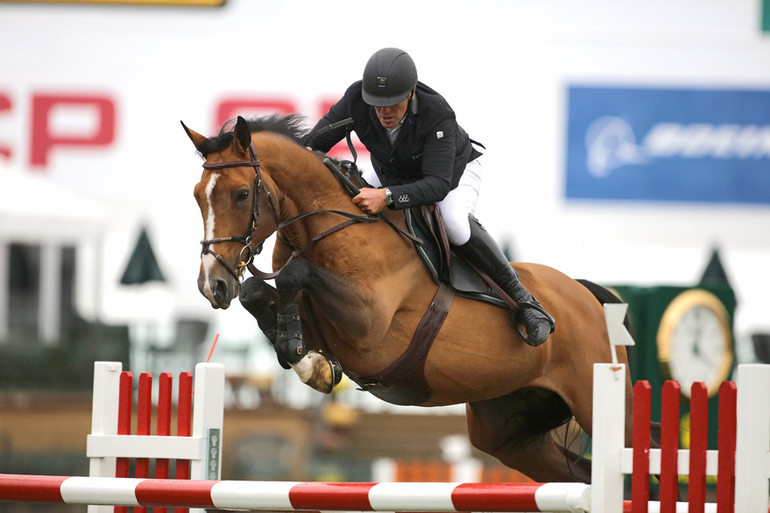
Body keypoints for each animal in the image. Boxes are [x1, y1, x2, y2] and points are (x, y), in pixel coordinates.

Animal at [183, 114, 632, 482]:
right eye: (197, 195)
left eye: (242, 194)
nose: (212, 285)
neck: (325, 229)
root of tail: (590, 297)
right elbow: (257, 291)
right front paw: (310, 362)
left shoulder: (368, 325)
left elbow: (296, 274)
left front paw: (305, 360)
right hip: (509, 430)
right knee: (578, 475)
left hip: (597, 404)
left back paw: (535, 319)